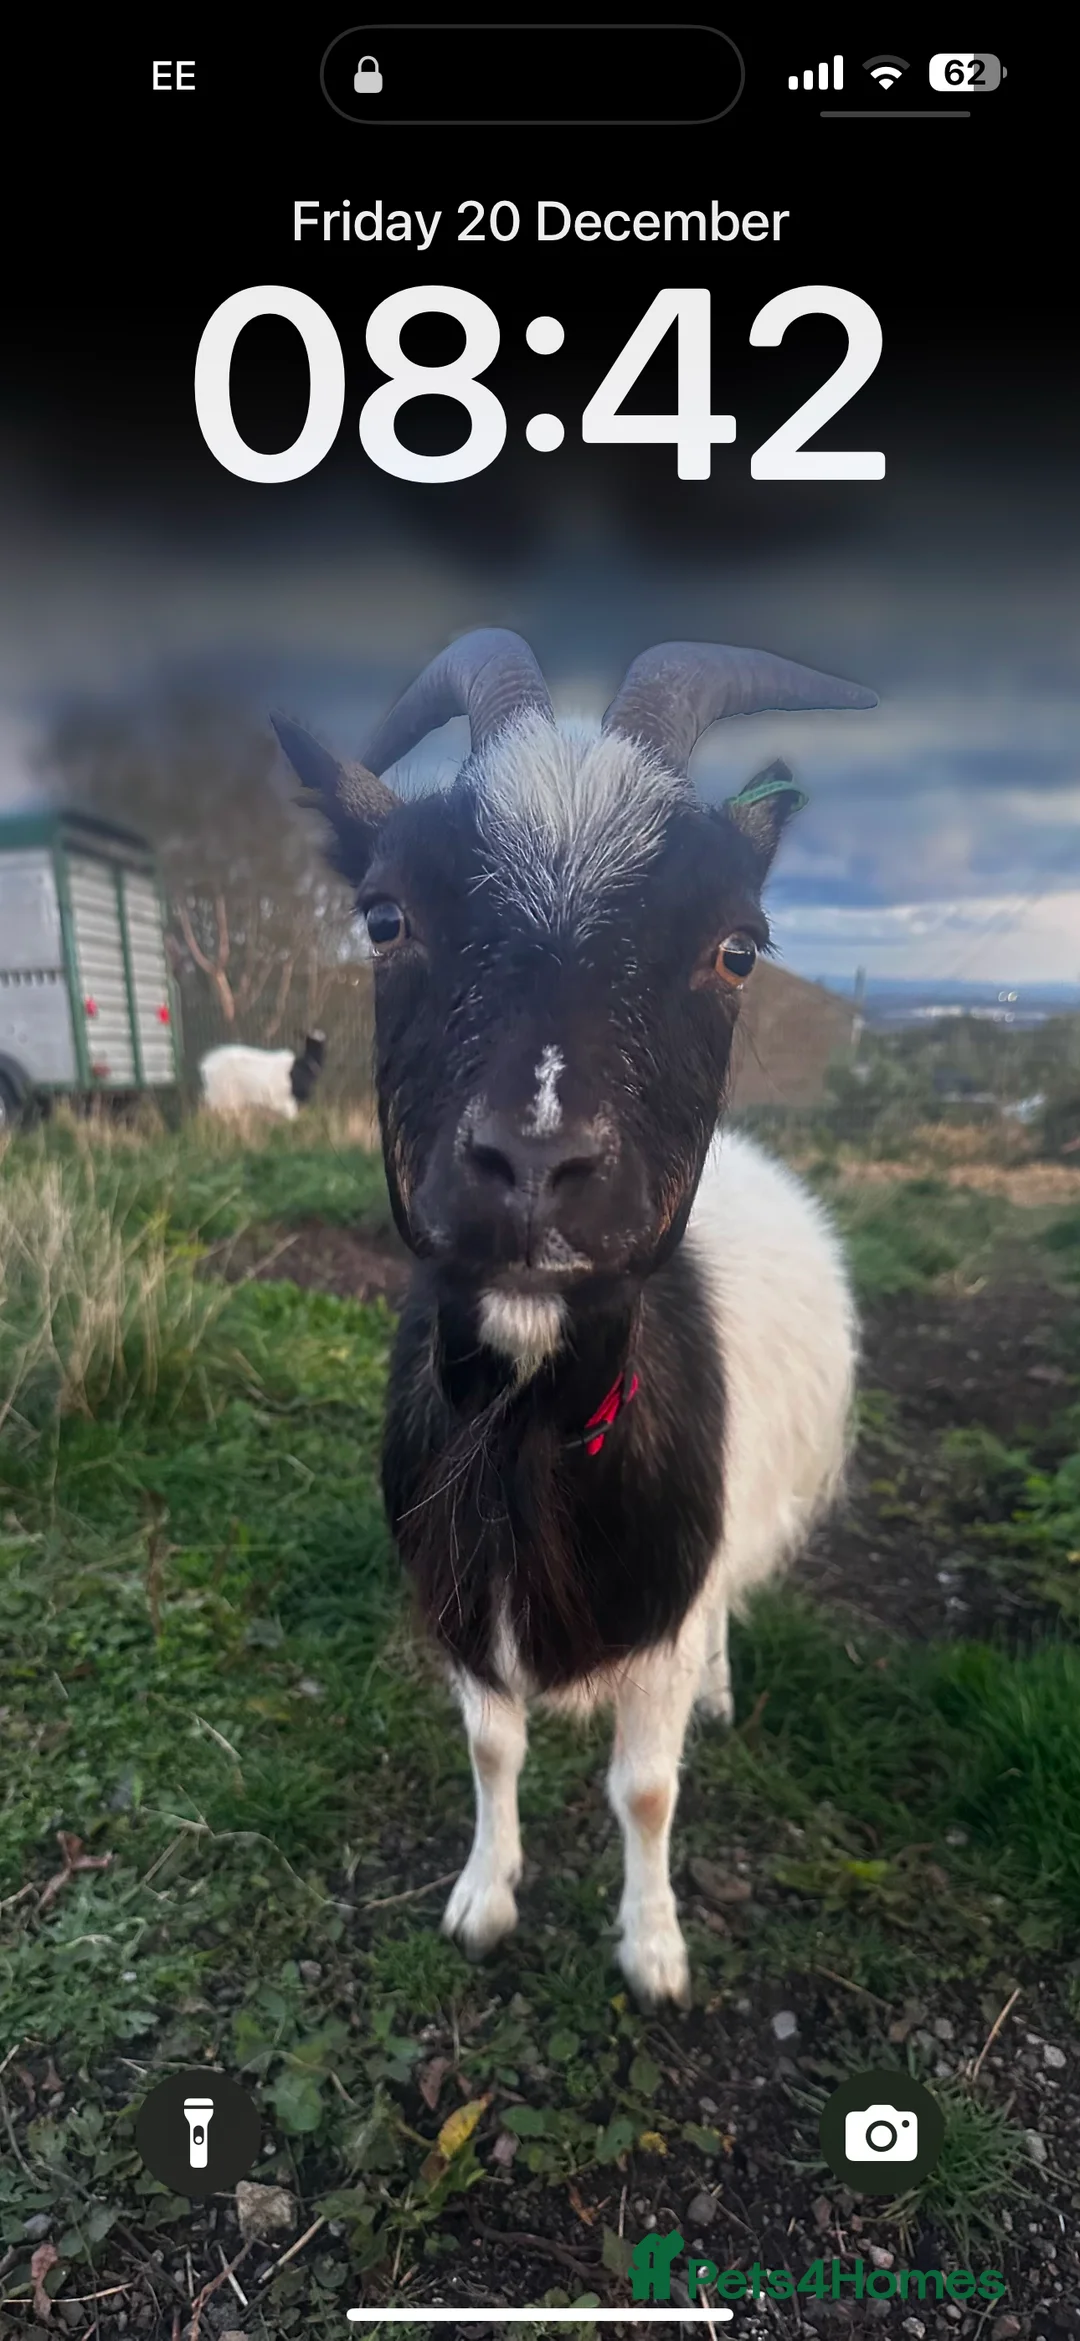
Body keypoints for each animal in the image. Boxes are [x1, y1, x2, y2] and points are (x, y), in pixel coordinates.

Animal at [271, 633, 875, 2007]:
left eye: (738, 948)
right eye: (384, 916)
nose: (537, 1161)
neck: (529, 1423)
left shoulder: (667, 1598)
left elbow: (644, 1787)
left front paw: (653, 1950)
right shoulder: (458, 1600)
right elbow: (492, 1750)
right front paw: (483, 1899)